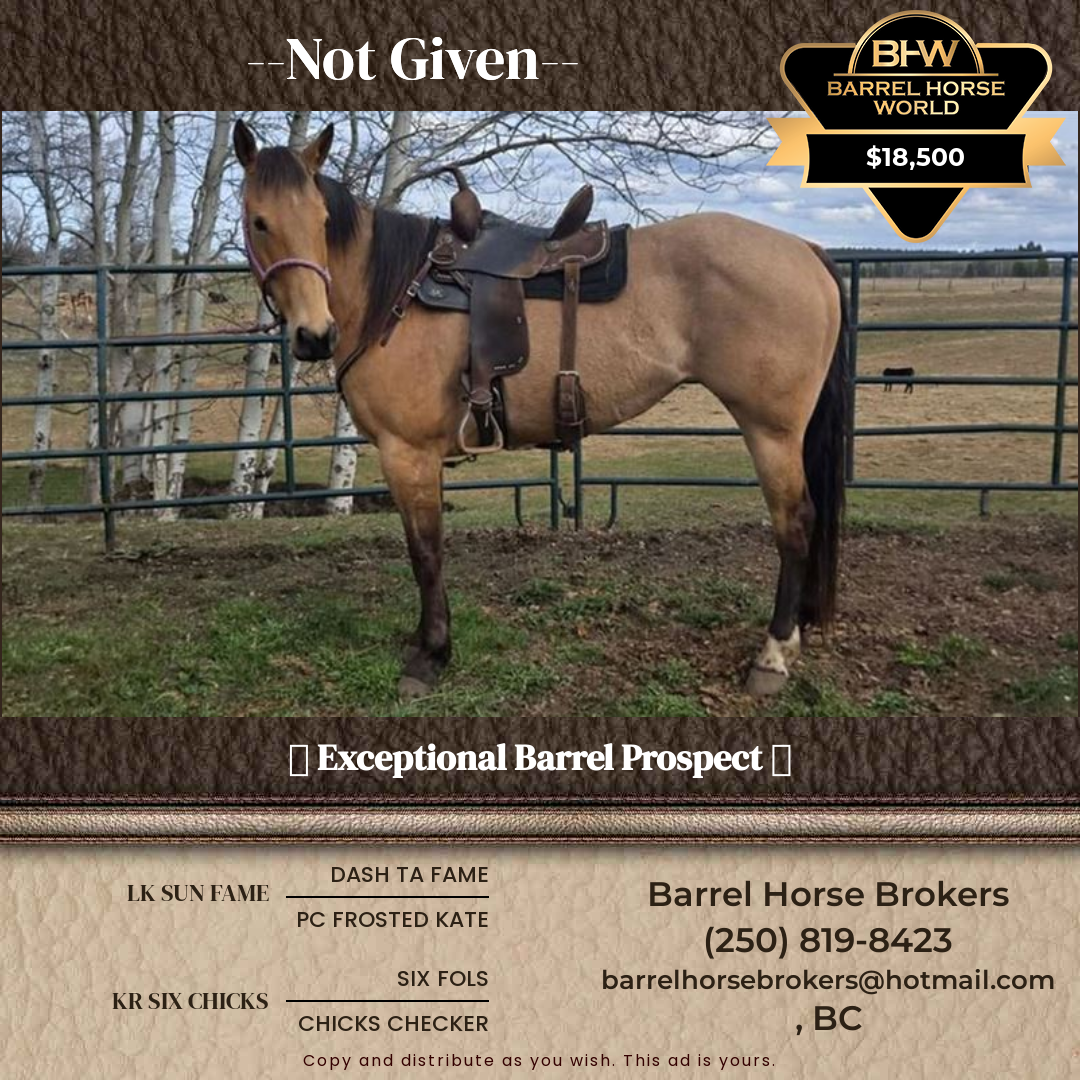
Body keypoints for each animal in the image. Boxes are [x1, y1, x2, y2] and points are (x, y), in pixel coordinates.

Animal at [233, 120, 849, 701]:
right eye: (259, 221)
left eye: (321, 221)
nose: (315, 335)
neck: (392, 294)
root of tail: (804, 251)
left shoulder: (408, 454)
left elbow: (425, 552)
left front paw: (431, 655)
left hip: (771, 431)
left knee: (795, 523)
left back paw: (771, 656)